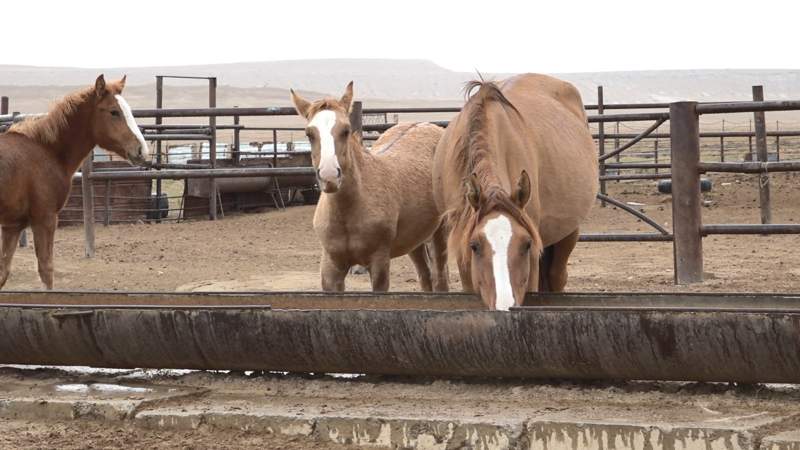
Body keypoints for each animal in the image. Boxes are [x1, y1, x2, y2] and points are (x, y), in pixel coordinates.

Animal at [0, 75, 151, 290]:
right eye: (114, 112)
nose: (142, 151)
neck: (47, 152)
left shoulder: (12, 225)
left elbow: (3, 272)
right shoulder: (45, 219)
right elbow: (46, 271)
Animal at [290, 81, 450, 292]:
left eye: (346, 130)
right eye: (309, 134)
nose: (329, 175)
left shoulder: (379, 264)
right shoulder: (331, 267)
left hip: (441, 232)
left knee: (440, 279)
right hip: (415, 239)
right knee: (425, 277)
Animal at [434, 74, 596, 312]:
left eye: (526, 244)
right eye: (475, 246)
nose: (505, 307)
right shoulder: (462, 249)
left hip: (569, 233)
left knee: (556, 277)